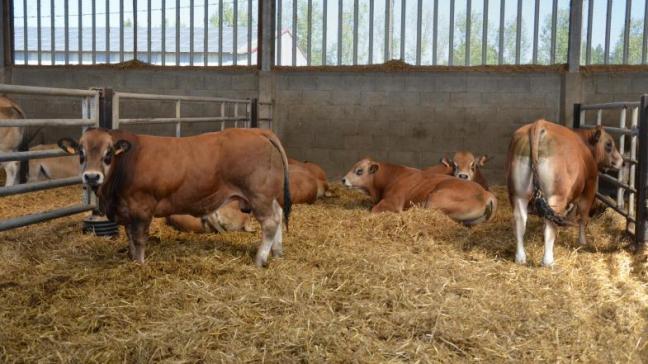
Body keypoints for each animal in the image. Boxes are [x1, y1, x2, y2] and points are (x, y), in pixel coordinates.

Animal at [58, 128, 292, 268]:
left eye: (108, 154)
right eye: (81, 152)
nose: (91, 176)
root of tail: (256, 130)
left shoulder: (142, 208)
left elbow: (139, 238)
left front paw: (140, 264)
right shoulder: (126, 211)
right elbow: (130, 237)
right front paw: (132, 259)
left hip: (258, 194)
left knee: (270, 222)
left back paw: (260, 259)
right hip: (267, 195)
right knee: (279, 214)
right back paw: (277, 251)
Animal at [340, 159, 496, 226]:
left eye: (359, 171)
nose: (343, 179)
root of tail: (486, 194)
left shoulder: (392, 202)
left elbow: (374, 210)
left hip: (435, 199)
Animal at [506, 119, 624, 268]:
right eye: (609, 144)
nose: (623, 162)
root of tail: (539, 124)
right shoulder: (589, 188)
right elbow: (582, 216)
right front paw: (582, 241)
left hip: (518, 194)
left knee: (520, 222)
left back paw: (520, 257)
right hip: (556, 196)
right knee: (550, 226)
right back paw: (548, 261)